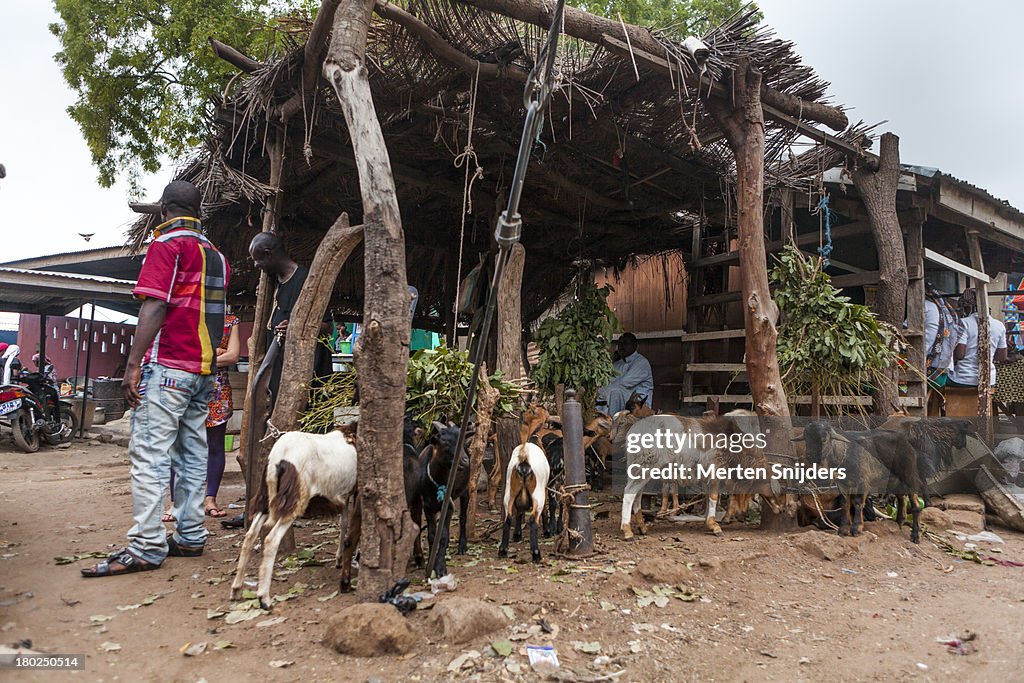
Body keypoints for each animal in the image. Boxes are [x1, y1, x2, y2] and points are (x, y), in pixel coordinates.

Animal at [230, 430, 358, 610]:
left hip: (266, 497)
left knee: (250, 536)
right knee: (271, 540)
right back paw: (264, 598)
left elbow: (344, 524)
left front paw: (339, 558)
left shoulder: (344, 497)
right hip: (296, 499)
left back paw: (236, 588)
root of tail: (279, 458)